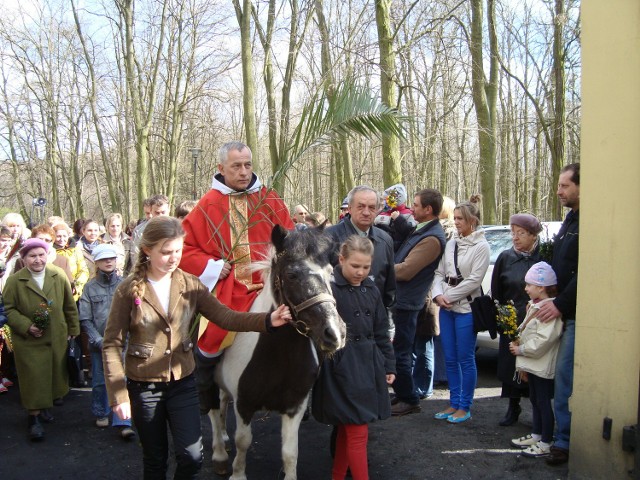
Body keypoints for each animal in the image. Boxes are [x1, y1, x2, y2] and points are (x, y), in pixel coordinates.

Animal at [206, 226, 344, 480]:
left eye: (330, 272)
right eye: (291, 275)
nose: (334, 332)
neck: (278, 357)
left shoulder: (295, 407)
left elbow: (290, 452)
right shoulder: (244, 404)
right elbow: (243, 441)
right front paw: (237, 474)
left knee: (221, 402)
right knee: (212, 410)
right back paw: (219, 453)